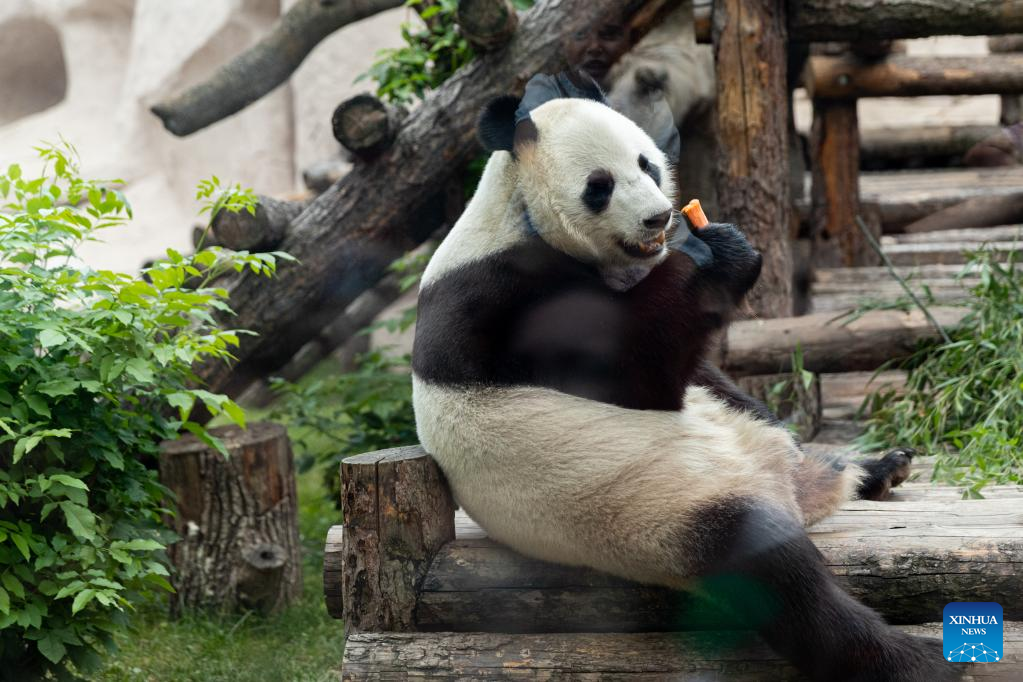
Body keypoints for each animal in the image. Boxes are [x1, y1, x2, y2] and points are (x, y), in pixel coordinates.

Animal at [407, 74, 949, 682]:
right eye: (599, 186)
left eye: (646, 164)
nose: (658, 218)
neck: (518, 211)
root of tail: (783, 491)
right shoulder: (505, 301)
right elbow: (637, 373)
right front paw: (719, 252)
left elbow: (699, 367)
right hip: (663, 510)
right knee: (777, 578)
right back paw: (908, 659)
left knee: (783, 446)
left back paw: (874, 468)